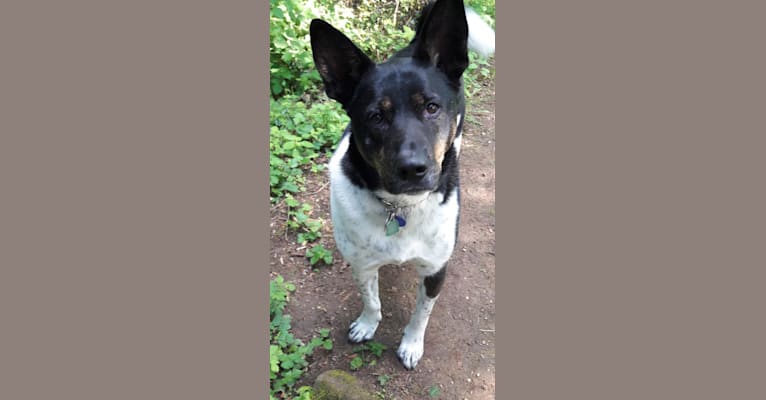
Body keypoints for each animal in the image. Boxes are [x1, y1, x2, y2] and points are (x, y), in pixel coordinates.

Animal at [312, 0, 498, 370]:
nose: (413, 169)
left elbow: (421, 313)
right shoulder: (362, 264)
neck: (400, 208)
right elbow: (371, 300)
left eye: (431, 107)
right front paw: (367, 324)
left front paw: (411, 344)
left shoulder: (436, 269)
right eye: (375, 116)